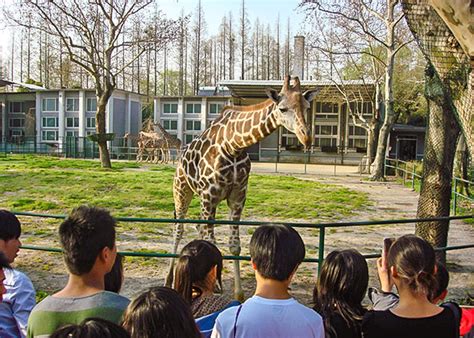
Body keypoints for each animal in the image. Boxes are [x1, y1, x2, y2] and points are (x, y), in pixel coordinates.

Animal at [166, 76, 318, 298]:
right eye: (282, 109)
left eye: (306, 107)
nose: (306, 137)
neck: (234, 145)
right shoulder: (209, 195)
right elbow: (212, 244)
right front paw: (217, 289)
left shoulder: (237, 196)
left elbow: (234, 246)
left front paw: (238, 294)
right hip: (182, 191)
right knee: (179, 228)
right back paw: (169, 279)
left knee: (198, 229)